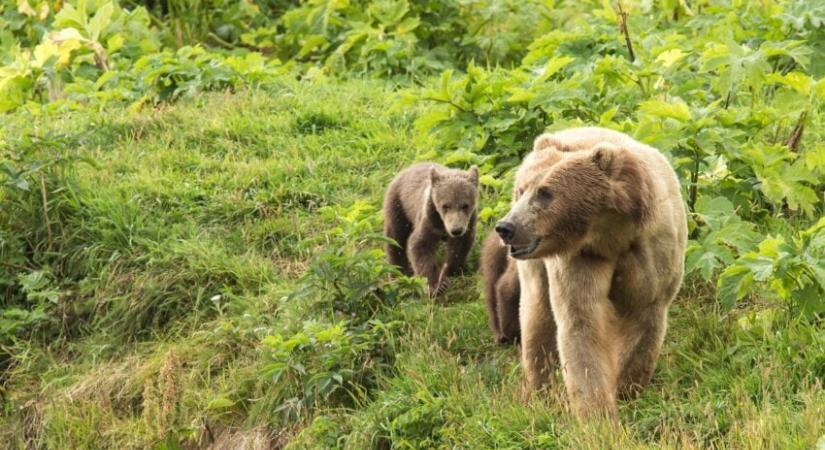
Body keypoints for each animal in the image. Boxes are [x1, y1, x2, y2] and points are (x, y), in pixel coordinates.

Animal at [496, 127, 688, 422]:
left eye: (545, 192)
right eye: (522, 189)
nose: (506, 227)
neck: (611, 233)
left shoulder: (652, 252)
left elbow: (644, 316)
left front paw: (626, 389)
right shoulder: (580, 258)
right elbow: (582, 324)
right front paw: (597, 414)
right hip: (535, 266)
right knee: (537, 314)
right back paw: (540, 388)